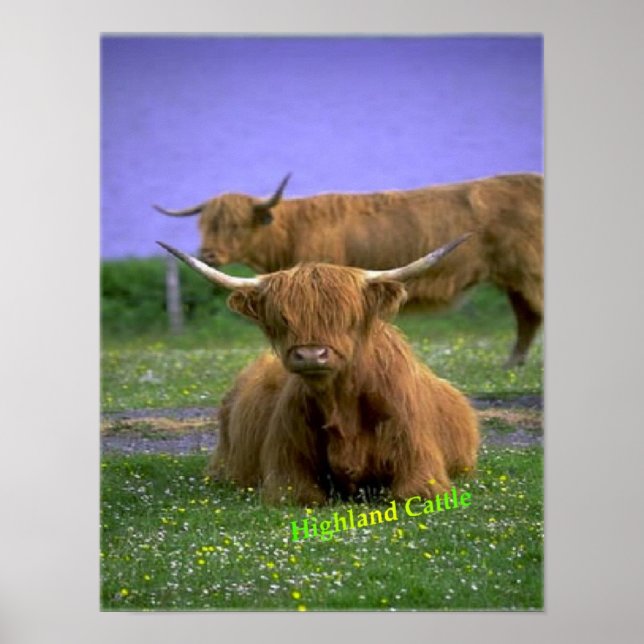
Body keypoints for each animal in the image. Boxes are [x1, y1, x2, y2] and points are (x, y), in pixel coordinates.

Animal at [155, 173, 543, 367]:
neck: (291, 233)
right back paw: (513, 363)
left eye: (236, 225)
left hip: (530, 273)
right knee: (527, 316)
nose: (208, 252)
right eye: (205, 224)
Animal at [158, 236, 480, 506]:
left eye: (346, 316)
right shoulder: (286, 475)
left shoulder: (421, 467)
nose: (311, 354)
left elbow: (410, 491)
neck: (342, 407)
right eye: (282, 318)